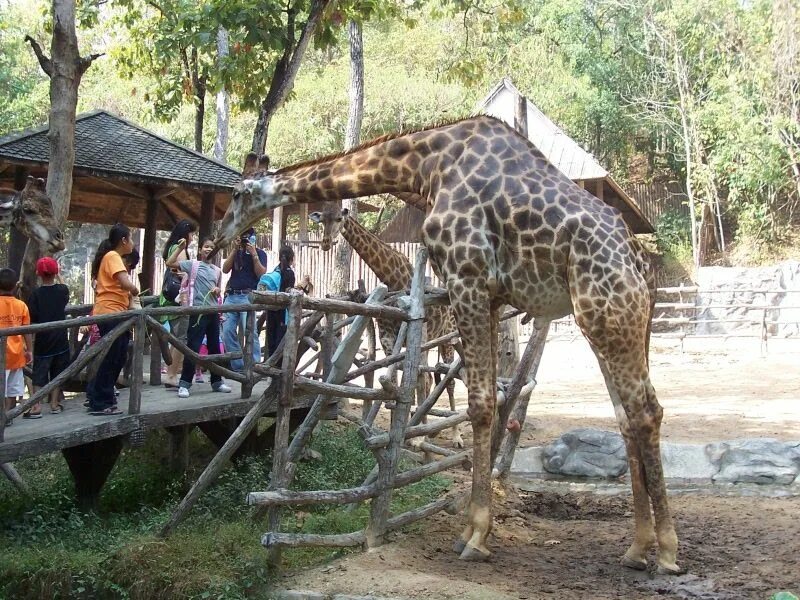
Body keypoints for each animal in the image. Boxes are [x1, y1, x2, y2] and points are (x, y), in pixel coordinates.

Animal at [310, 204, 466, 448]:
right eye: (322, 220)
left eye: (338, 219)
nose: (326, 243)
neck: (392, 277)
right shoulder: (387, 339)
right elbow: (393, 382)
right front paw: (397, 433)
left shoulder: (416, 333)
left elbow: (416, 380)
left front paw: (416, 437)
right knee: (432, 377)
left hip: (449, 337)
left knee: (444, 379)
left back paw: (454, 436)